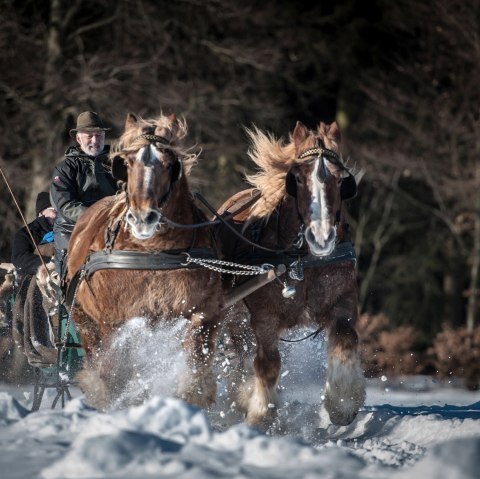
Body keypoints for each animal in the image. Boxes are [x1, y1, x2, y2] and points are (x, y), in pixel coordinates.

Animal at [64, 114, 224, 410]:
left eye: (169, 164)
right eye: (126, 163)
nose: (142, 218)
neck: (154, 253)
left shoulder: (205, 312)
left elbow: (195, 370)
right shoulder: (114, 322)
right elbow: (113, 375)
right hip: (83, 319)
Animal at [216, 120, 366, 428]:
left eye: (341, 180)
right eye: (296, 178)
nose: (321, 237)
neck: (301, 261)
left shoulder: (343, 304)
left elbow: (346, 341)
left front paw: (342, 404)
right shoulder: (265, 319)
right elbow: (268, 364)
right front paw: (261, 414)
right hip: (235, 316)